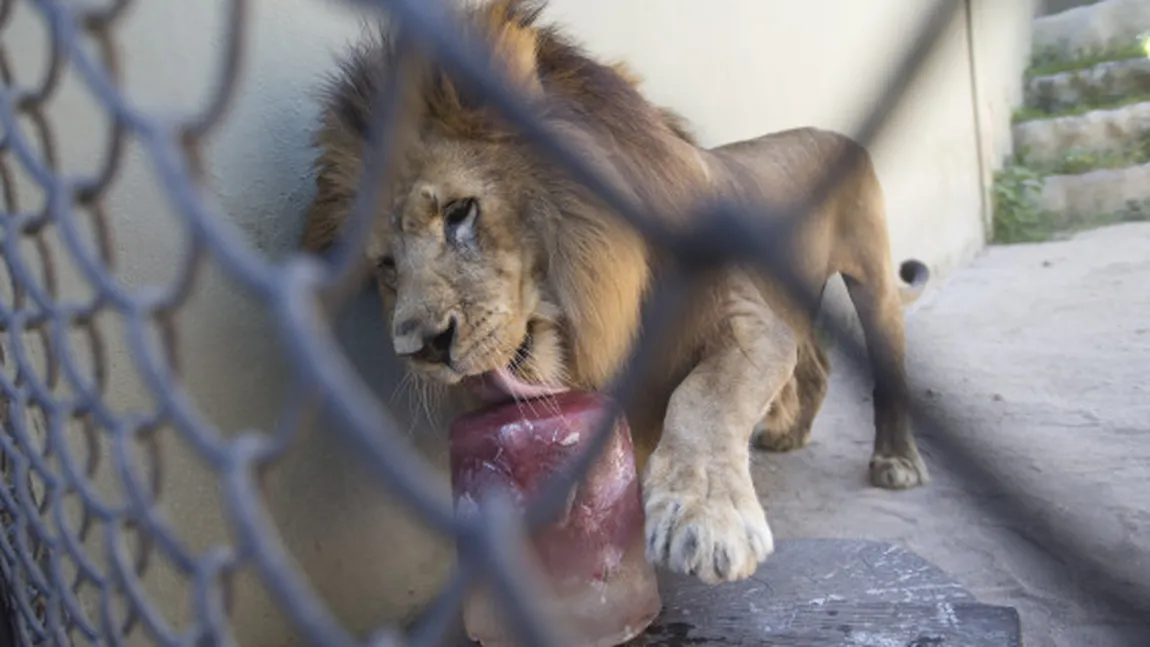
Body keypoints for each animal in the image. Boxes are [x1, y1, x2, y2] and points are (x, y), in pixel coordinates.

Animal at [301, 0, 929, 588]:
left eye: (459, 212)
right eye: (385, 267)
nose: (420, 350)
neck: (608, 299)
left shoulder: (746, 320)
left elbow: (703, 397)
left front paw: (702, 518)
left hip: (873, 280)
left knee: (887, 366)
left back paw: (895, 460)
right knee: (817, 361)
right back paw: (789, 433)